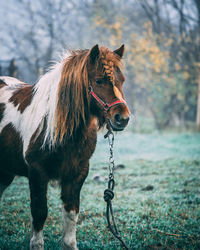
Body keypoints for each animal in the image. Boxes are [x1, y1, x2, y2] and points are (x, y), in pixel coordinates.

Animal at [0, 44, 130, 249]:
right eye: (99, 80)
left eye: (122, 80)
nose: (122, 118)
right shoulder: (36, 172)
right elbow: (39, 213)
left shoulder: (77, 173)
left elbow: (70, 215)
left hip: (5, 172)